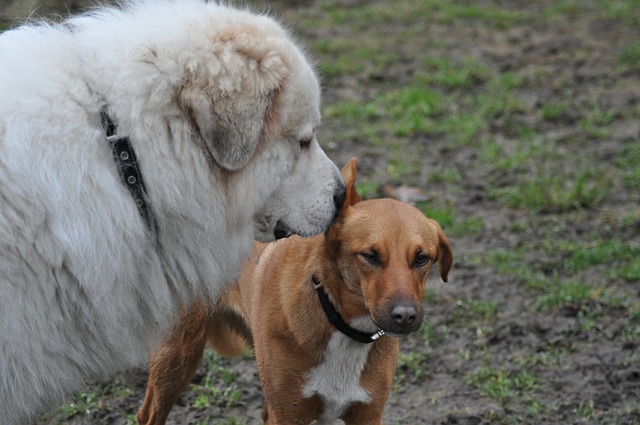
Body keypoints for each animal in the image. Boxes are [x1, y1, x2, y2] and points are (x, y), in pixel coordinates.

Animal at [138, 159, 452, 424]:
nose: (405, 316)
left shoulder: (367, 414)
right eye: (370, 256)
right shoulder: (289, 413)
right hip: (177, 354)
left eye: (422, 258)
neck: (342, 326)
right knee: (148, 414)